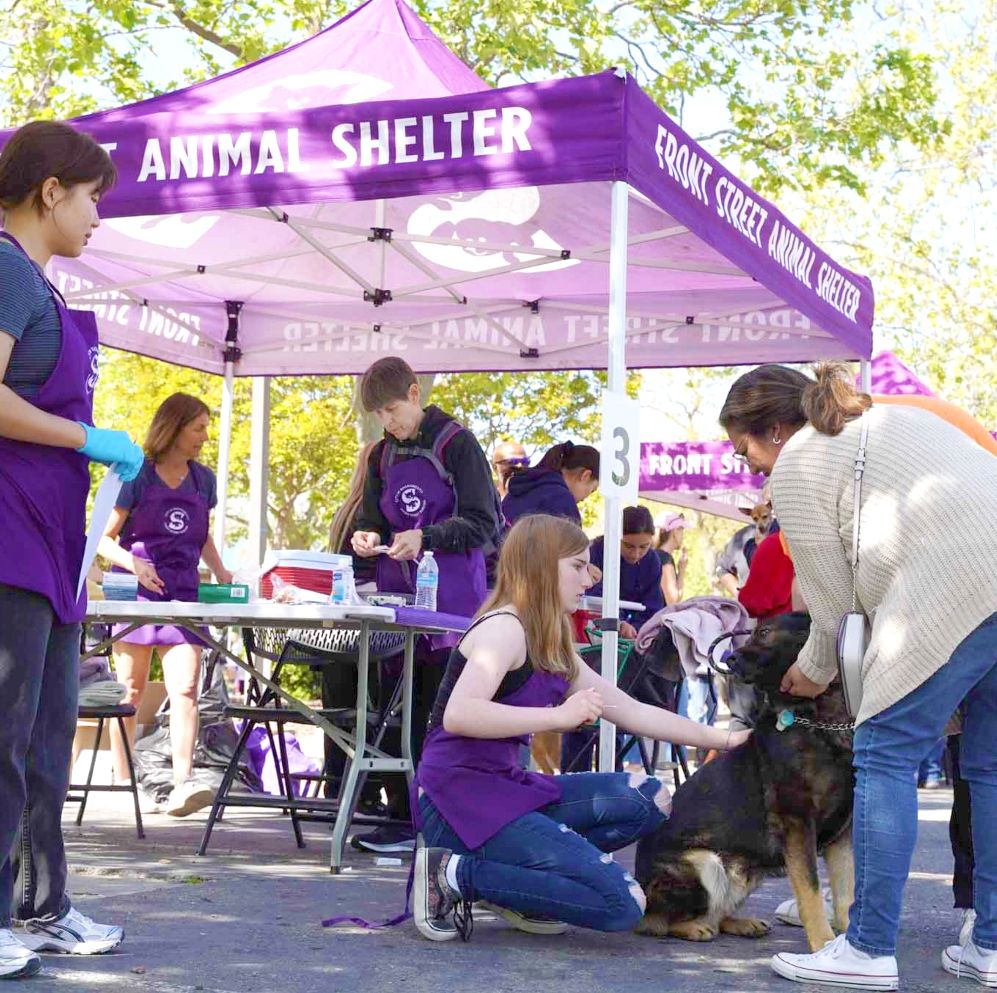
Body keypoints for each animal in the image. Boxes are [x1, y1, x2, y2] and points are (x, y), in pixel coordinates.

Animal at [636, 612, 852, 952]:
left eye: (764, 633)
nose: (729, 659)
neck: (816, 719)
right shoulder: (798, 825)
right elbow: (811, 893)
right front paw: (823, 944)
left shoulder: (842, 834)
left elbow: (847, 895)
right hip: (705, 865)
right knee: (663, 921)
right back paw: (693, 927)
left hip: (742, 872)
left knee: (718, 913)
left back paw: (740, 923)